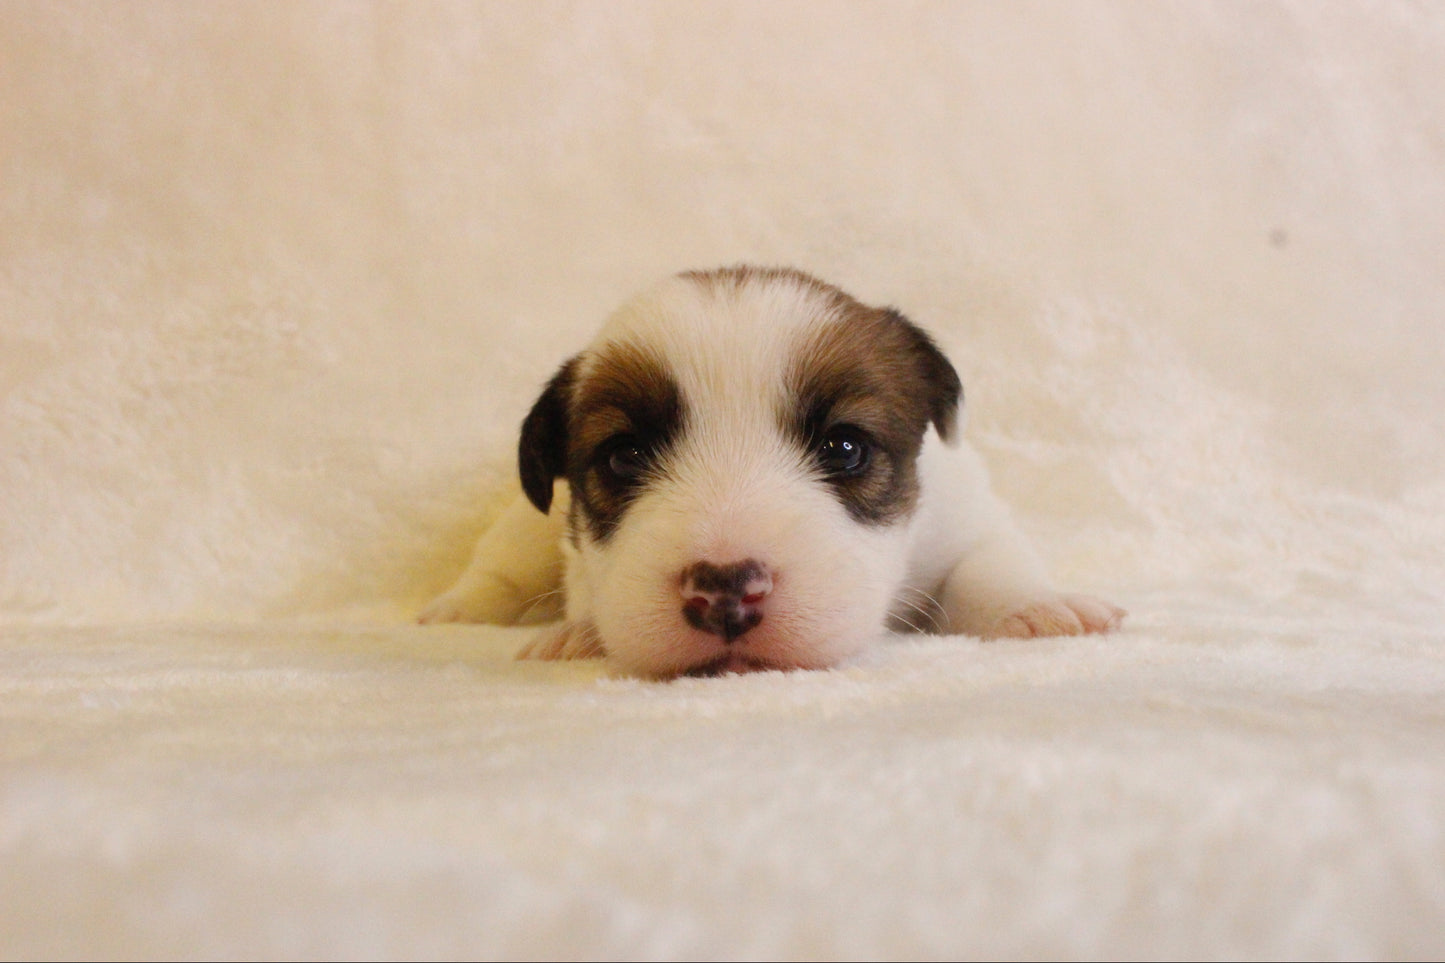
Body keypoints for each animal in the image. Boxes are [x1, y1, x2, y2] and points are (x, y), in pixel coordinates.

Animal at [421, 264, 1121, 673]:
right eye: (624, 457)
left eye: (844, 449)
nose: (725, 591)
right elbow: (583, 585)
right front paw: (584, 632)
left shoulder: (965, 519)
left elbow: (990, 566)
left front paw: (1036, 608)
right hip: (521, 527)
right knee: (498, 570)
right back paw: (455, 608)